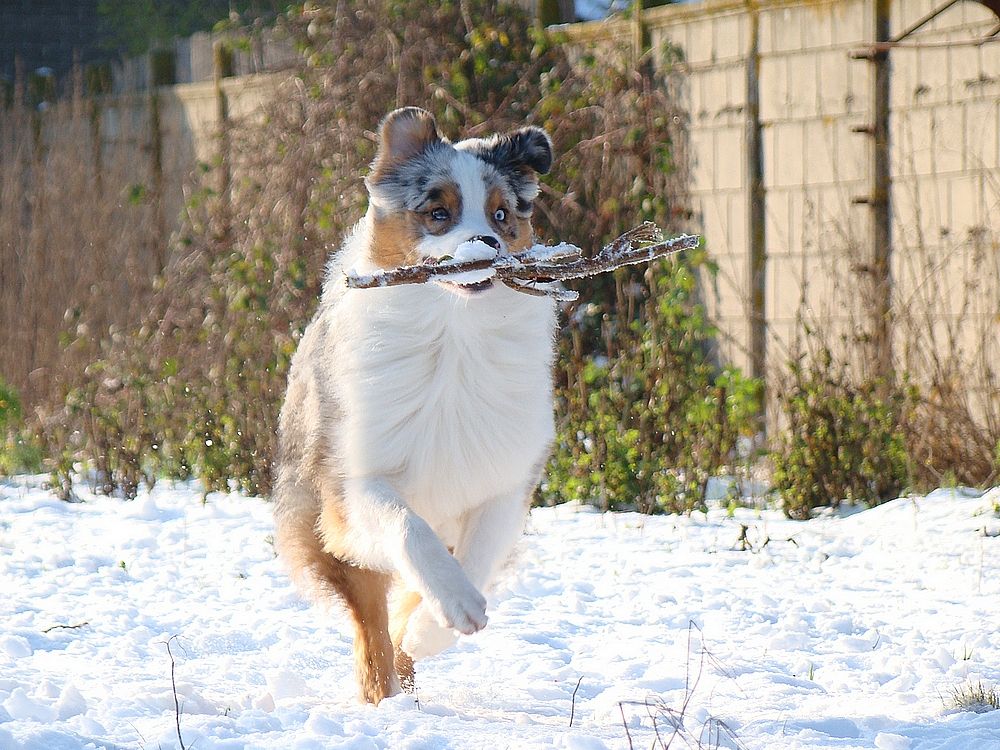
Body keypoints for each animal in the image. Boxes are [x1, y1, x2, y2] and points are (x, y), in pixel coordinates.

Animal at [270, 106, 560, 704]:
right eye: (438, 212)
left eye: (501, 214)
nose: (486, 246)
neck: (452, 335)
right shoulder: (354, 486)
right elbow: (407, 527)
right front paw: (454, 605)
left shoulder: (504, 481)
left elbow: (476, 555)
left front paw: (437, 624)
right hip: (322, 525)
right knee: (372, 631)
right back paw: (383, 698)